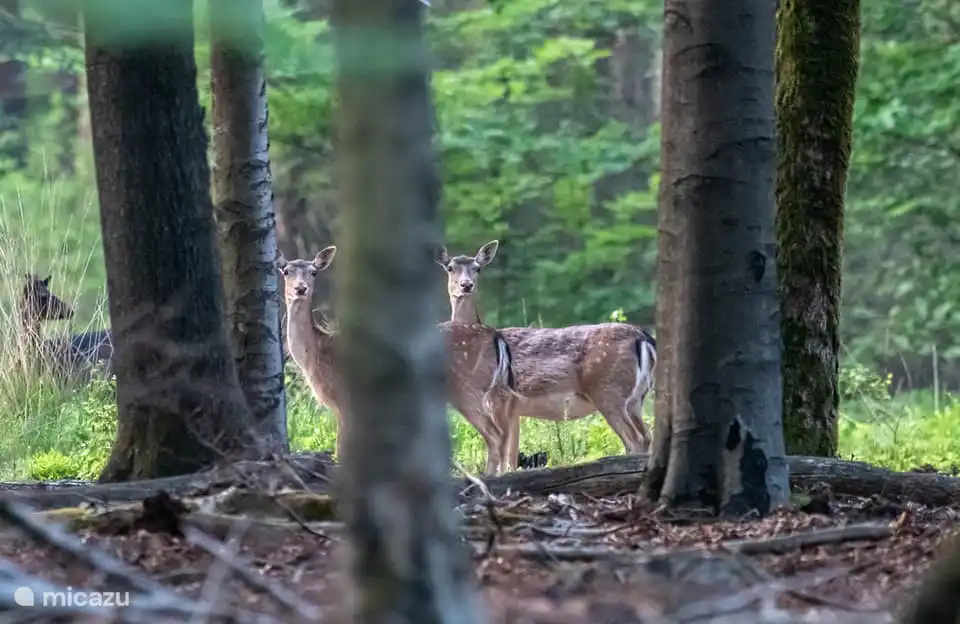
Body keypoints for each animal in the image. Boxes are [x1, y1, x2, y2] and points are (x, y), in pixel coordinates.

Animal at [277, 246, 519, 474]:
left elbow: (342, 451)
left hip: (468, 389)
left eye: (313, 272)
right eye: (286, 271)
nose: (300, 288)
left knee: (496, 435)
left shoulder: (343, 398)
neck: (316, 355)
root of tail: (495, 334)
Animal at [437, 240, 657, 473]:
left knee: (635, 439)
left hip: (608, 392)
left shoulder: (503, 402)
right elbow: (511, 454)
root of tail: (645, 338)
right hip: (636, 398)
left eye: (477, 268)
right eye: (450, 267)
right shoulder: (515, 410)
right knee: (646, 436)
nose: (466, 285)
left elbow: (505, 452)